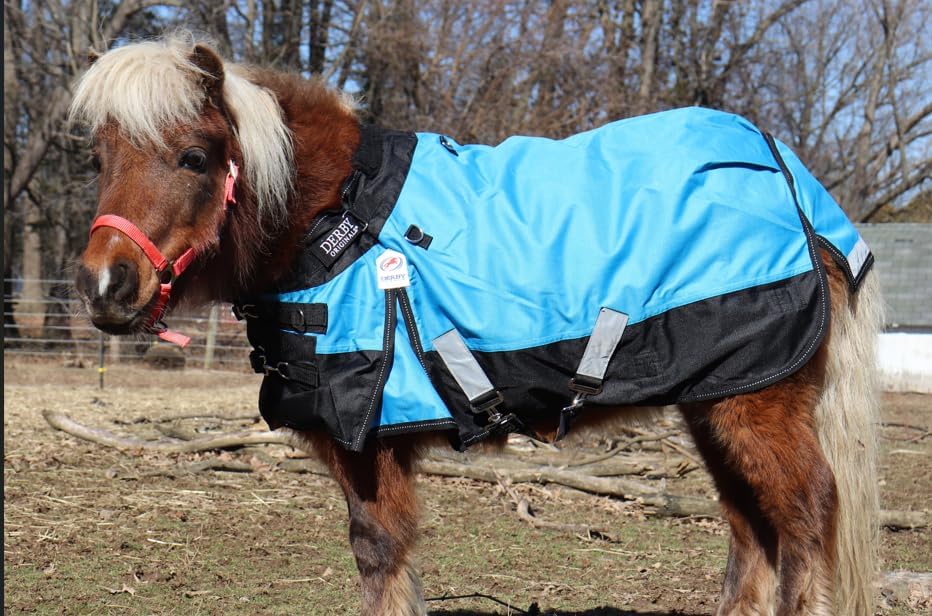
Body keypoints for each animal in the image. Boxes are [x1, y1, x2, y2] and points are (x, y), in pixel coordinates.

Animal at [70, 36, 883, 616]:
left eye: (194, 157)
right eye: (99, 159)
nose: (104, 285)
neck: (342, 218)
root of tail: (799, 188)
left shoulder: (367, 449)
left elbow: (378, 558)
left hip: (758, 405)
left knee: (806, 516)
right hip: (713, 405)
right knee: (751, 529)